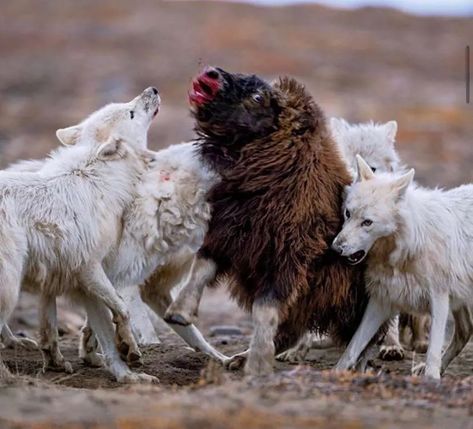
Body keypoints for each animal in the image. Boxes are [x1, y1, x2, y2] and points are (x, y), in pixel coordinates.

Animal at [332, 155, 472, 378]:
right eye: (347, 213)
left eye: (367, 222)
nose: (336, 248)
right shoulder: (381, 300)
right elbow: (352, 347)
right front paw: (336, 373)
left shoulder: (439, 298)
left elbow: (433, 349)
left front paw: (431, 379)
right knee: (465, 331)